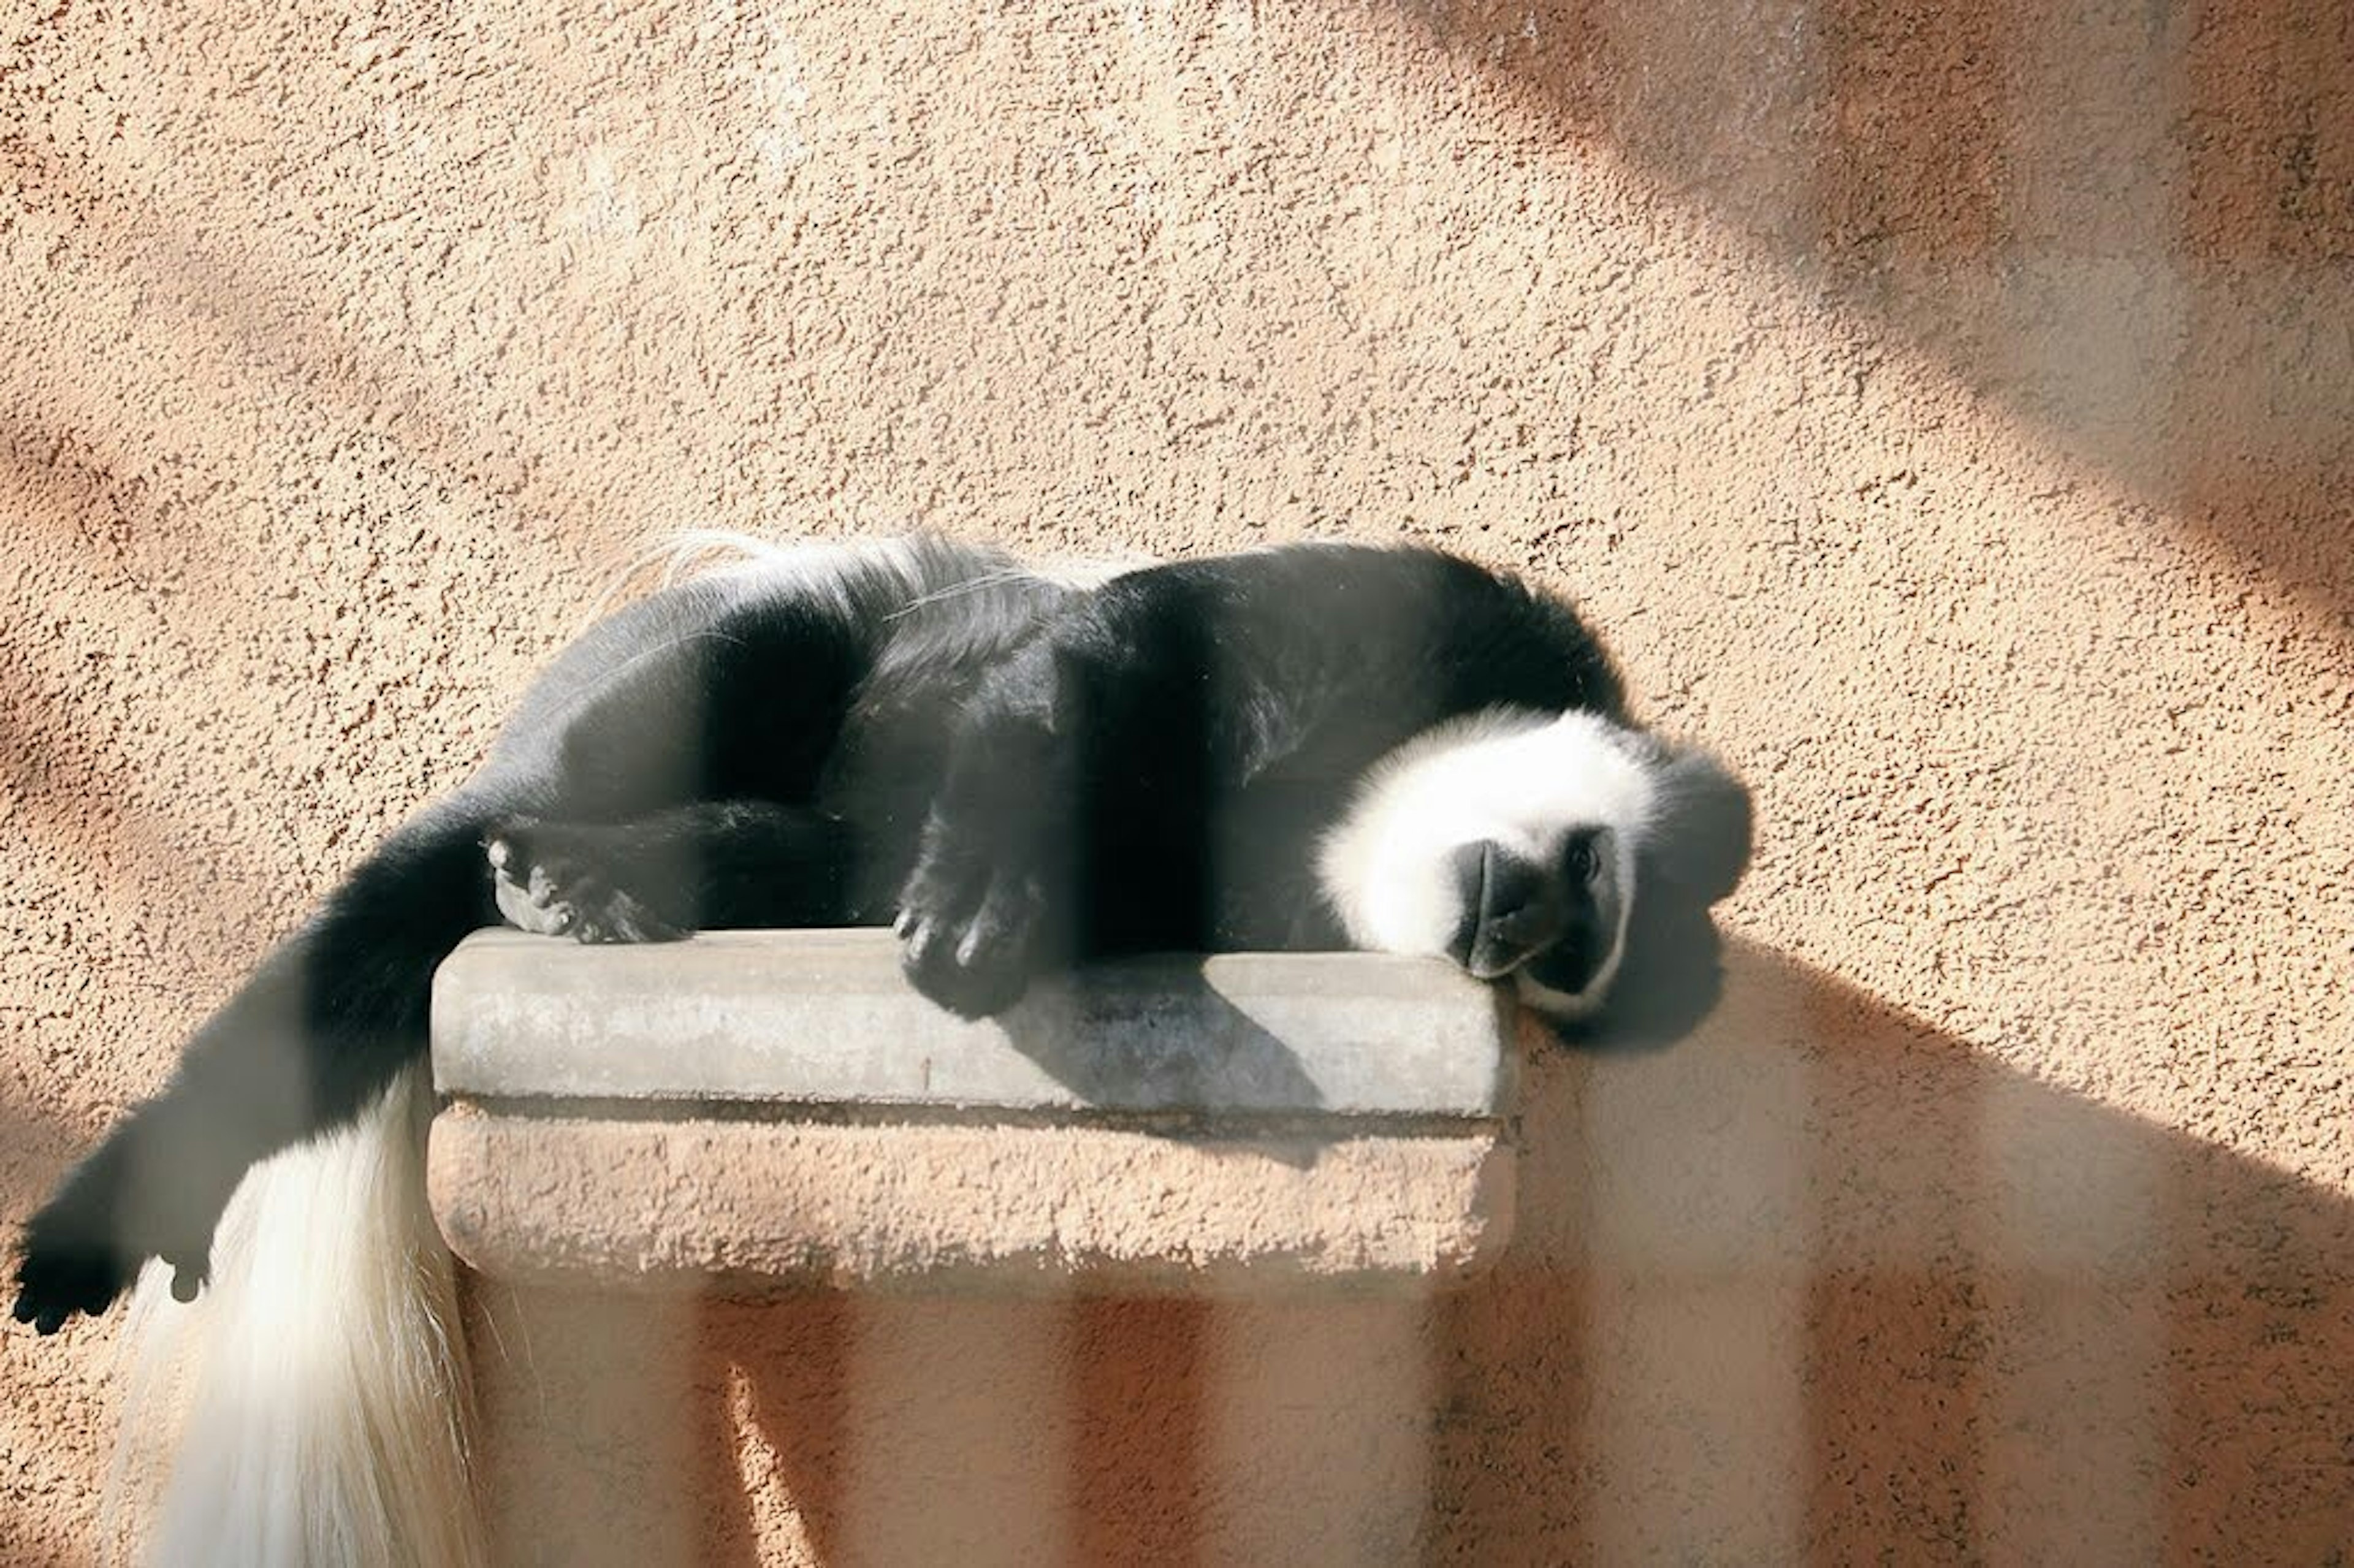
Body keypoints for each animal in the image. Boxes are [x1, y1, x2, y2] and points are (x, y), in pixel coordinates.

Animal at [9, 534, 1751, 1553]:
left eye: (1566, 969)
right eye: (1591, 888)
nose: (1510, 932)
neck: (1350, 812)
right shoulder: (1435, 615)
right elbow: (1127, 653)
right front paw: (983, 903)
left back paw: (602, 882)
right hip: (729, 655)